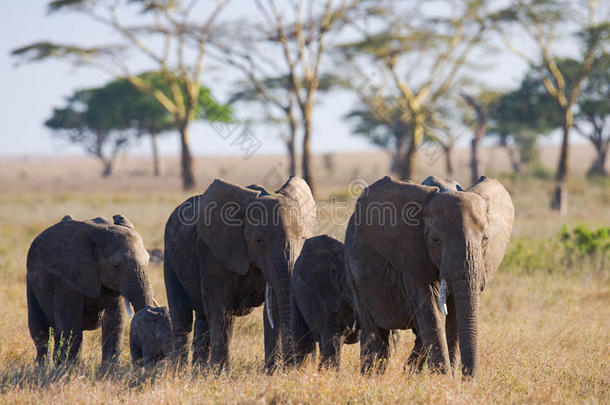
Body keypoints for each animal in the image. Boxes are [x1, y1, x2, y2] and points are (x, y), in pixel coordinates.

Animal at [26, 213, 154, 364]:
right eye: (116, 266)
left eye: (148, 261)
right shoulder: (66, 276)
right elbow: (70, 323)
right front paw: (69, 369)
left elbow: (114, 321)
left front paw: (109, 369)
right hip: (31, 281)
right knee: (40, 331)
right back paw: (44, 368)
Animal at [163, 175, 314, 370]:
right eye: (259, 241)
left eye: (303, 239)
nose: (293, 366)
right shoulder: (214, 253)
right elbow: (221, 310)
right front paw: (220, 373)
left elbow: (274, 309)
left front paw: (272, 372)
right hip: (170, 257)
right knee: (182, 317)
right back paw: (178, 372)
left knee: (203, 319)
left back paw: (198, 372)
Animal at [344, 174, 510, 376]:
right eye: (435, 240)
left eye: (485, 239)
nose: (467, 379)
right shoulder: (412, 256)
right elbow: (432, 312)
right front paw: (443, 379)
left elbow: (453, 316)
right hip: (353, 271)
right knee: (374, 331)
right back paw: (372, 377)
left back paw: (409, 374)